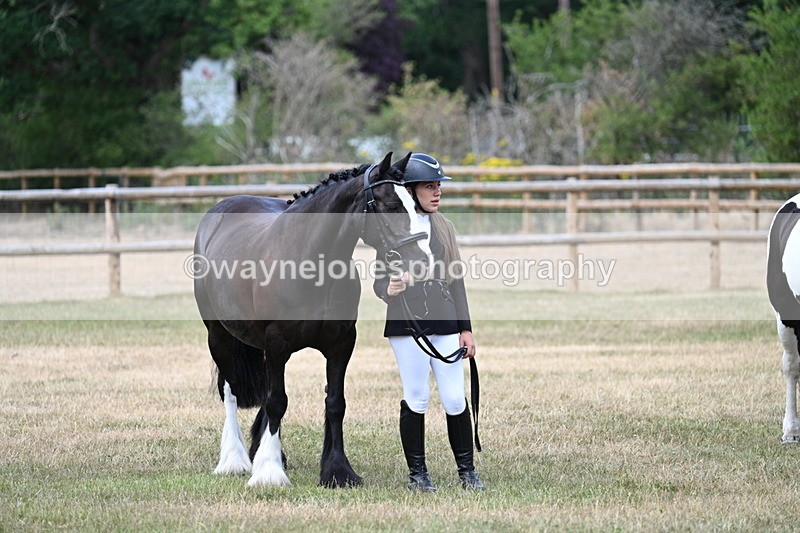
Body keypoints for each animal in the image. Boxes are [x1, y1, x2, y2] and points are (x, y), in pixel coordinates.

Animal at [193, 152, 432, 487]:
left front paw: (338, 470)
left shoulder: (341, 344)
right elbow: (277, 401)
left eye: (414, 203)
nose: (423, 262)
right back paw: (234, 460)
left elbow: (334, 403)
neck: (310, 263)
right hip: (219, 336)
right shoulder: (276, 343)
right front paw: (269, 473)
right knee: (231, 393)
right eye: (391, 205)